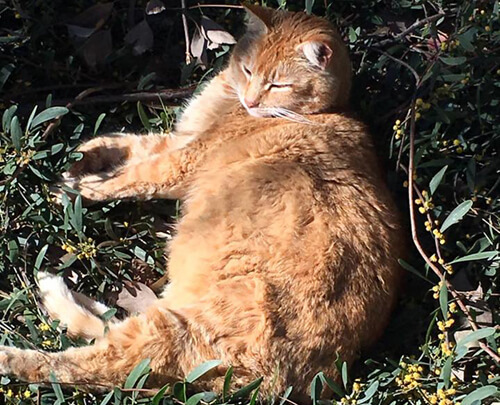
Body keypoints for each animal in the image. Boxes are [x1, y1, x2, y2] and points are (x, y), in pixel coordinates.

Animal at [0, 4, 404, 400]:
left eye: (278, 85)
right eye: (248, 69)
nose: (251, 100)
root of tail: (293, 382)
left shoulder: (182, 161)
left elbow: (132, 175)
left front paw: (75, 188)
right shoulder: (181, 139)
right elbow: (131, 142)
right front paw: (86, 155)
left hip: (175, 331)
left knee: (90, 366)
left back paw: (19, 342)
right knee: (108, 332)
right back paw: (54, 289)